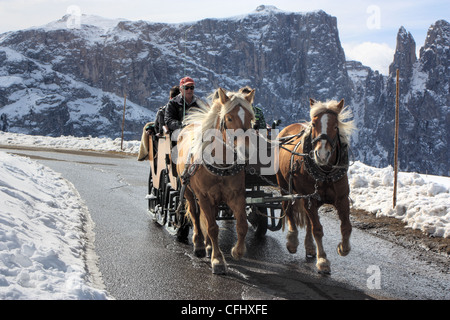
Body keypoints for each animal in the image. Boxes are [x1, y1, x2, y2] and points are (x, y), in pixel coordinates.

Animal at [176, 87, 255, 276]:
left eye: (251, 118)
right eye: (229, 118)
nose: (246, 151)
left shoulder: (236, 195)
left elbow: (242, 225)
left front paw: (237, 251)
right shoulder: (203, 196)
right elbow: (212, 227)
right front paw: (218, 260)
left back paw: (208, 245)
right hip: (188, 191)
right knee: (196, 215)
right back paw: (199, 244)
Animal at [276, 97, 356, 272]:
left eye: (335, 126)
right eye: (313, 124)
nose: (322, 155)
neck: (325, 172)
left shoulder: (342, 199)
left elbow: (346, 226)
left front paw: (343, 248)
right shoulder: (310, 199)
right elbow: (317, 229)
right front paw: (323, 260)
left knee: (307, 219)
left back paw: (310, 247)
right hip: (285, 187)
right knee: (289, 210)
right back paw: (292, 241)